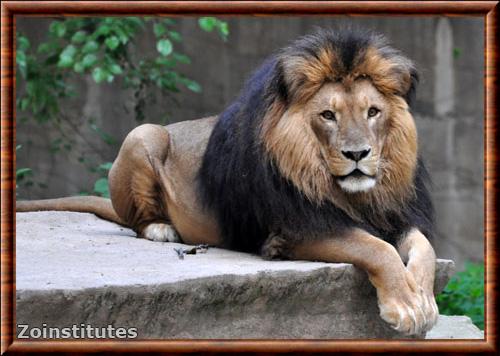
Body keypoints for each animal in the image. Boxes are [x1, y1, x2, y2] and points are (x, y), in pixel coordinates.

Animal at [16, 28, 438, 336]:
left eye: (373, 112)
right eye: (328, 115)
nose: (358, 154)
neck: (349, 194)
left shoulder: (393, 215)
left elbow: (424, 248)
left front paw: (424, 300)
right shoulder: (294, 229)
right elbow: (375, 248)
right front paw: (406, 306)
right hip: (143, 134)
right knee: (137, 220)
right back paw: (161, 229)